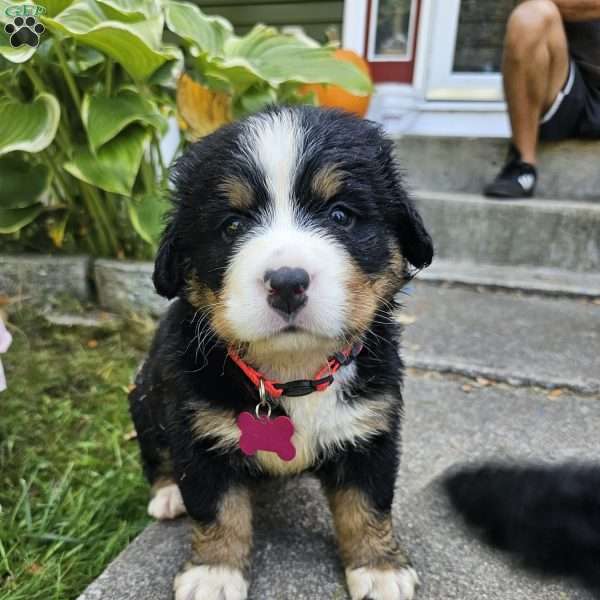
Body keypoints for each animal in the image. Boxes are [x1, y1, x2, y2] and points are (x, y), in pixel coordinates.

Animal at [129, 105, 434, 596]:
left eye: (340, 215)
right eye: (232, 225)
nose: (288, 282)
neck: (293, 373)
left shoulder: (372, 427)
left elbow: (367, 504)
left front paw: (379, 567)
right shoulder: (197, 431)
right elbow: (216, 508)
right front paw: (214, 572)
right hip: (145, 400)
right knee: (155, 454)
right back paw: (168, 493)